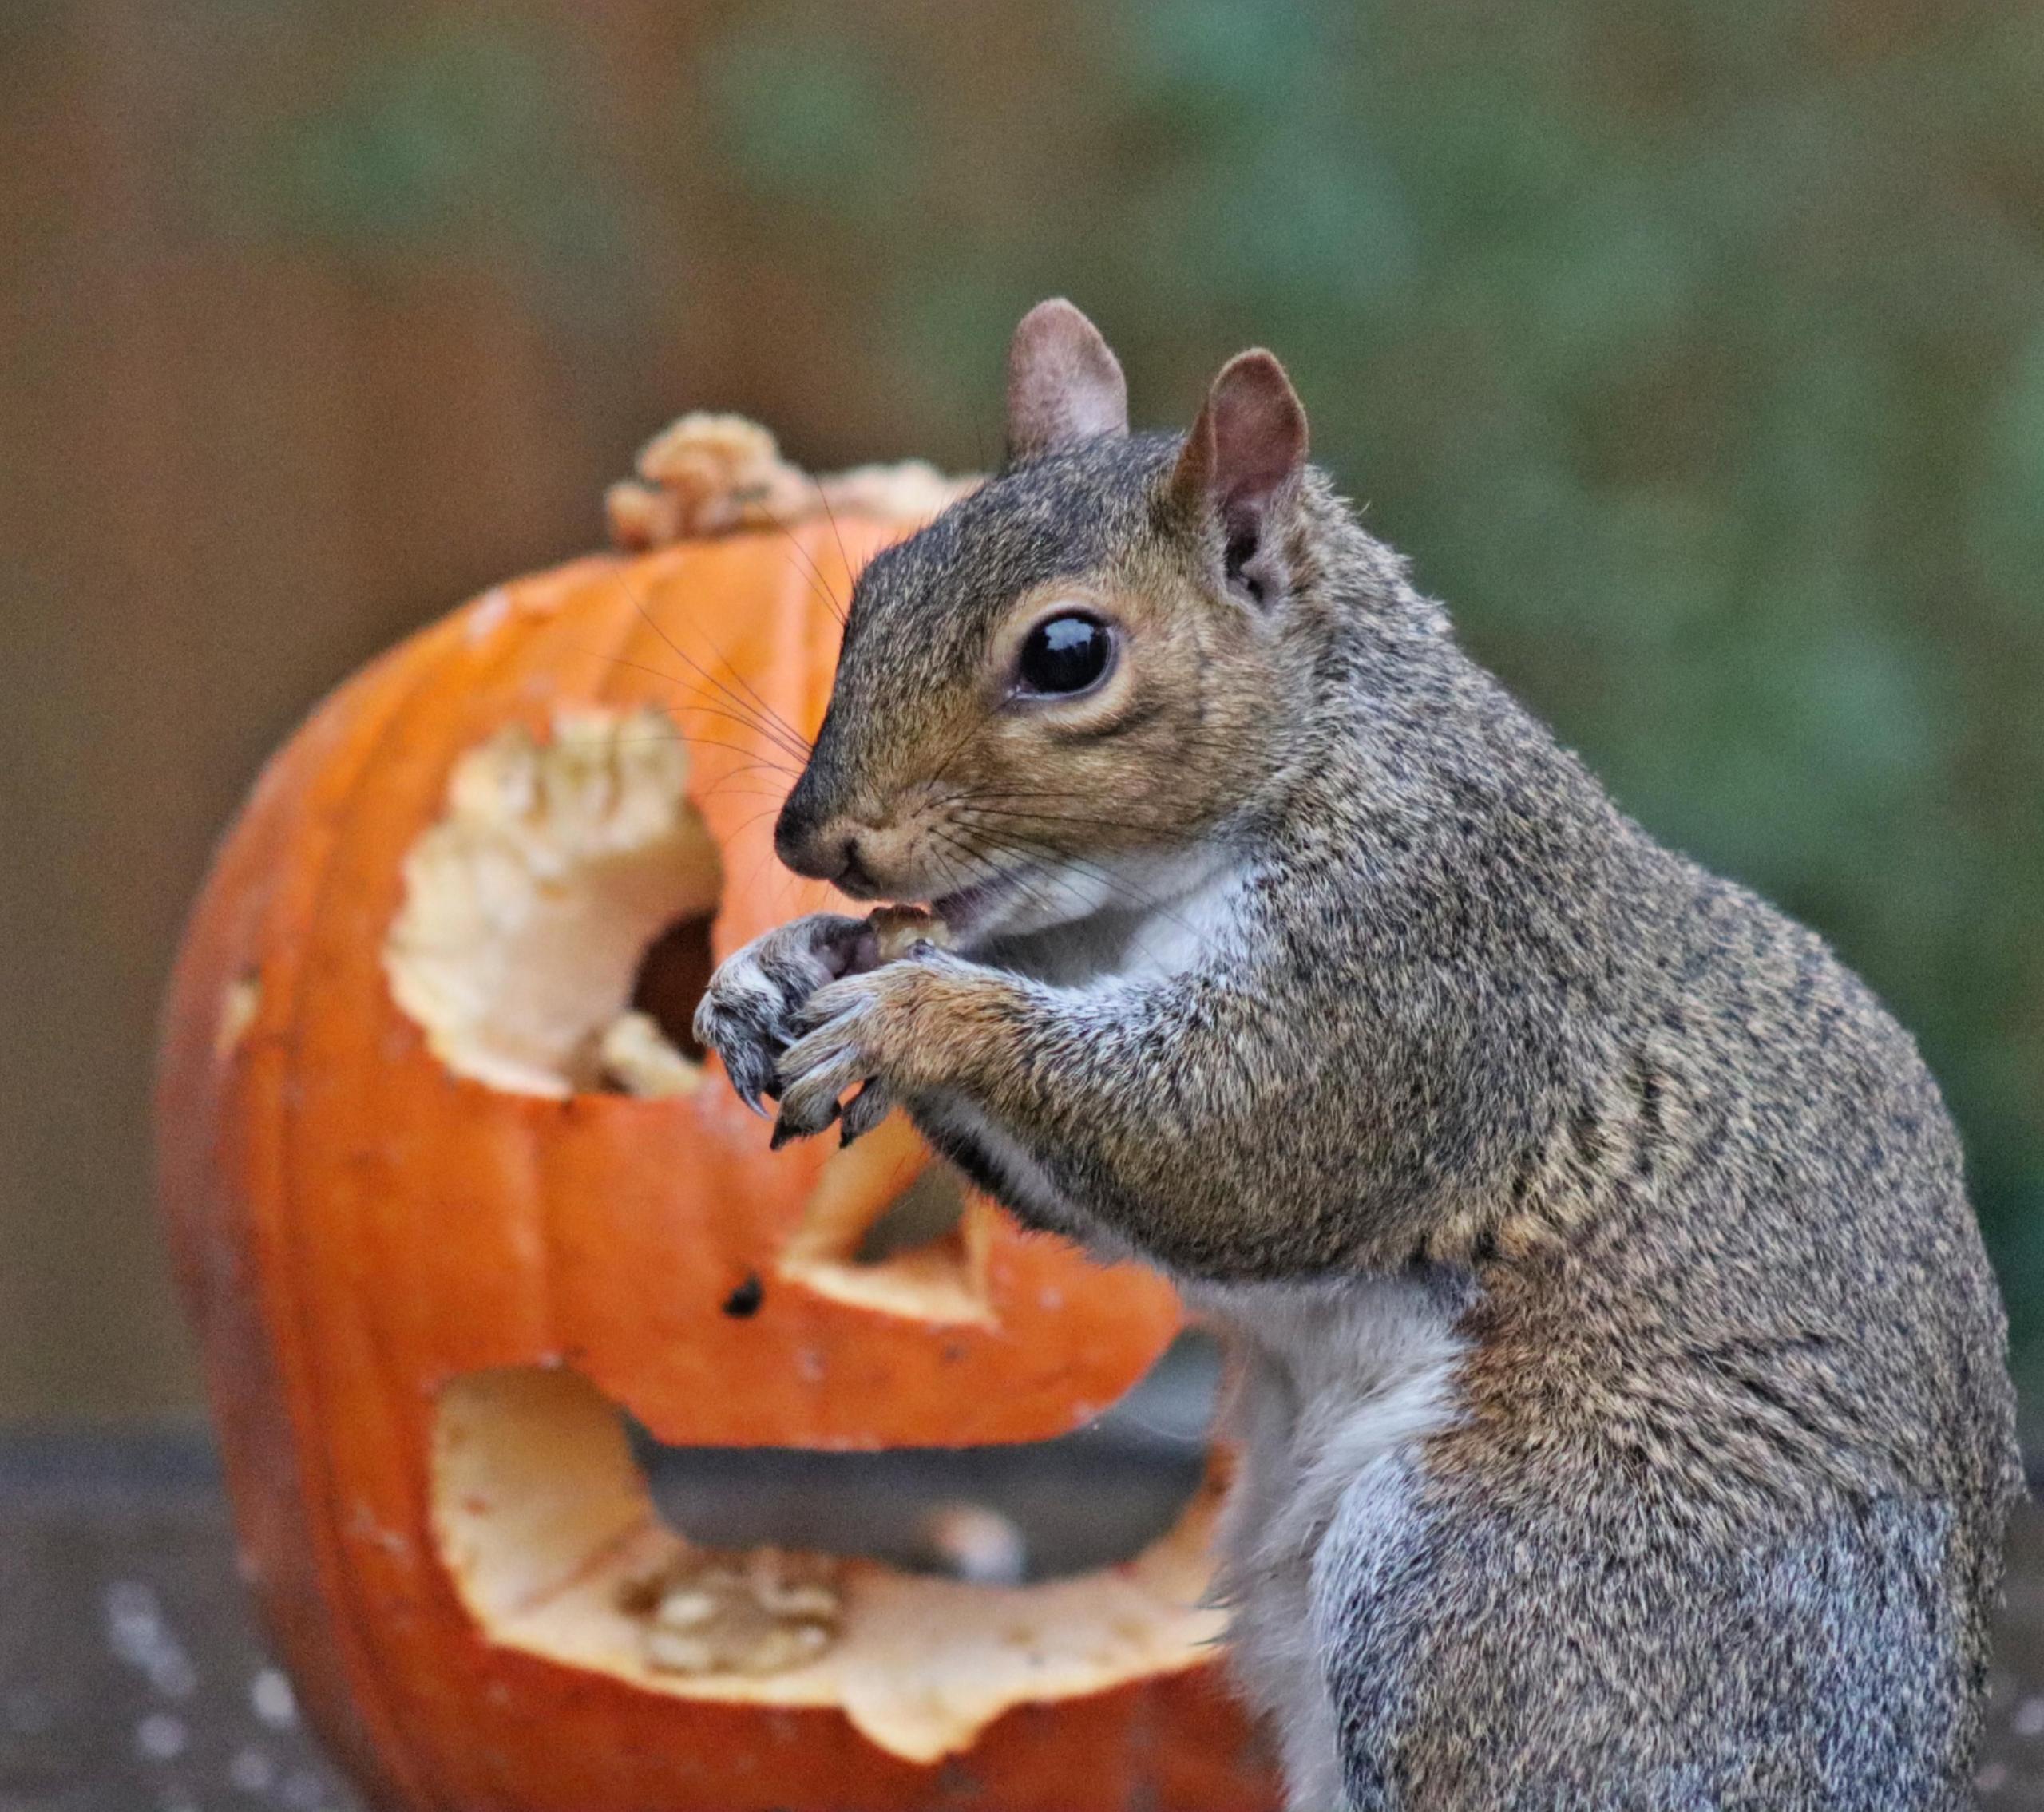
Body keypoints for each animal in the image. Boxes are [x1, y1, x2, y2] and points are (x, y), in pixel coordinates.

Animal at [695, 300, 2019, 1812]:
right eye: (875, 588)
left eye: (1069, 652)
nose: (811, 838)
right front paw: (776, 967)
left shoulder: (1421, 962)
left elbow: (1232, 1139)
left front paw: (912, 1011)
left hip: (1501, 1597)